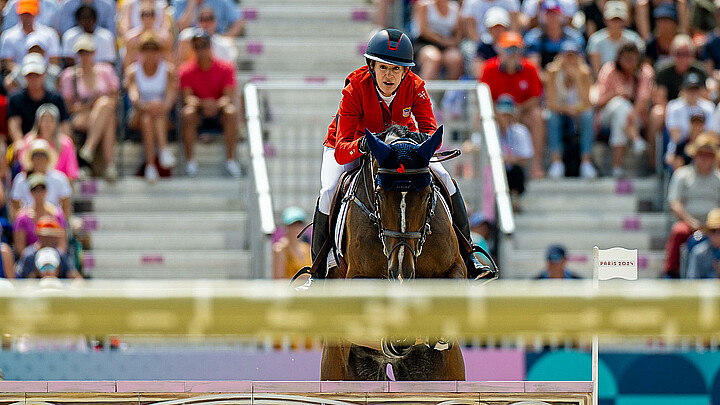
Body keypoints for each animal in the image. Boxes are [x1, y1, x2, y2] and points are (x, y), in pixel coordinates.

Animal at [320, 124, 466, 380]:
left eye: (427, 195)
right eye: (379, 194)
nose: (400, 269)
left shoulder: (457, 267)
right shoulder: (356, 279)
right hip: (336, 364)